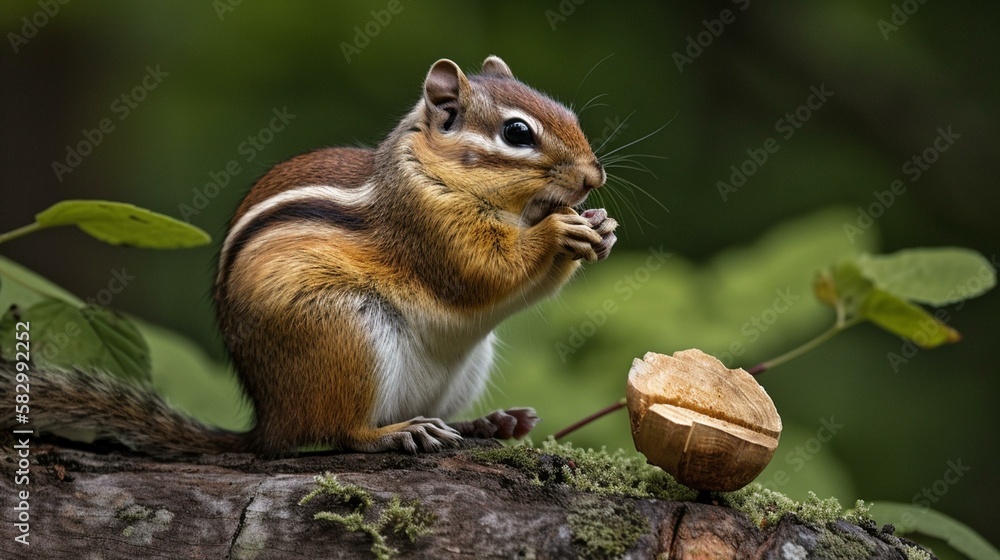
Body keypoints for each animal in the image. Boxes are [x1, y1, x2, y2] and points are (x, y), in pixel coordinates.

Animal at [2, 56, 618, 457]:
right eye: (517, 133)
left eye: (569, 113)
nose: (594, 178)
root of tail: (268, 422)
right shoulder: (429, 228)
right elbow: (484, 273)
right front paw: (559, 232)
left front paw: (600, 227)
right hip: (344, 334)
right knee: (337, 433)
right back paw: (397, 433)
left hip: (464, 365)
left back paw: (488, 424)